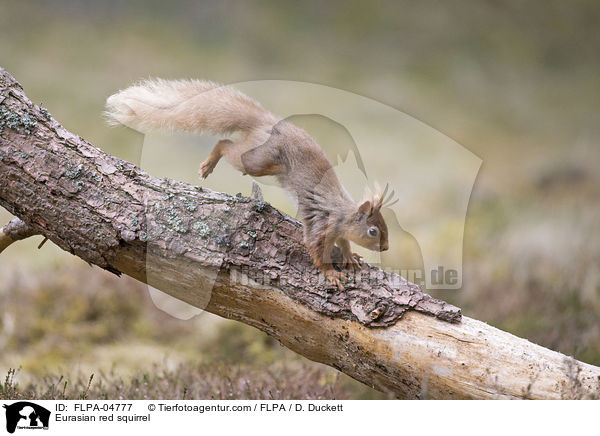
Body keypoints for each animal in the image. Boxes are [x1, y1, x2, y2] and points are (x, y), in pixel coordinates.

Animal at [104, 78, 394, 290]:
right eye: (373, 231)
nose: (386, 248)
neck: (343, 213)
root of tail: (268, 123)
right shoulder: (322, 223)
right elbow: (314, 247)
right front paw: (330, 273)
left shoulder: (339, 231)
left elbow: (344, 243)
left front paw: (350, 257)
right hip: (259, 160)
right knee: (227, 145)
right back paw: (210, 163)